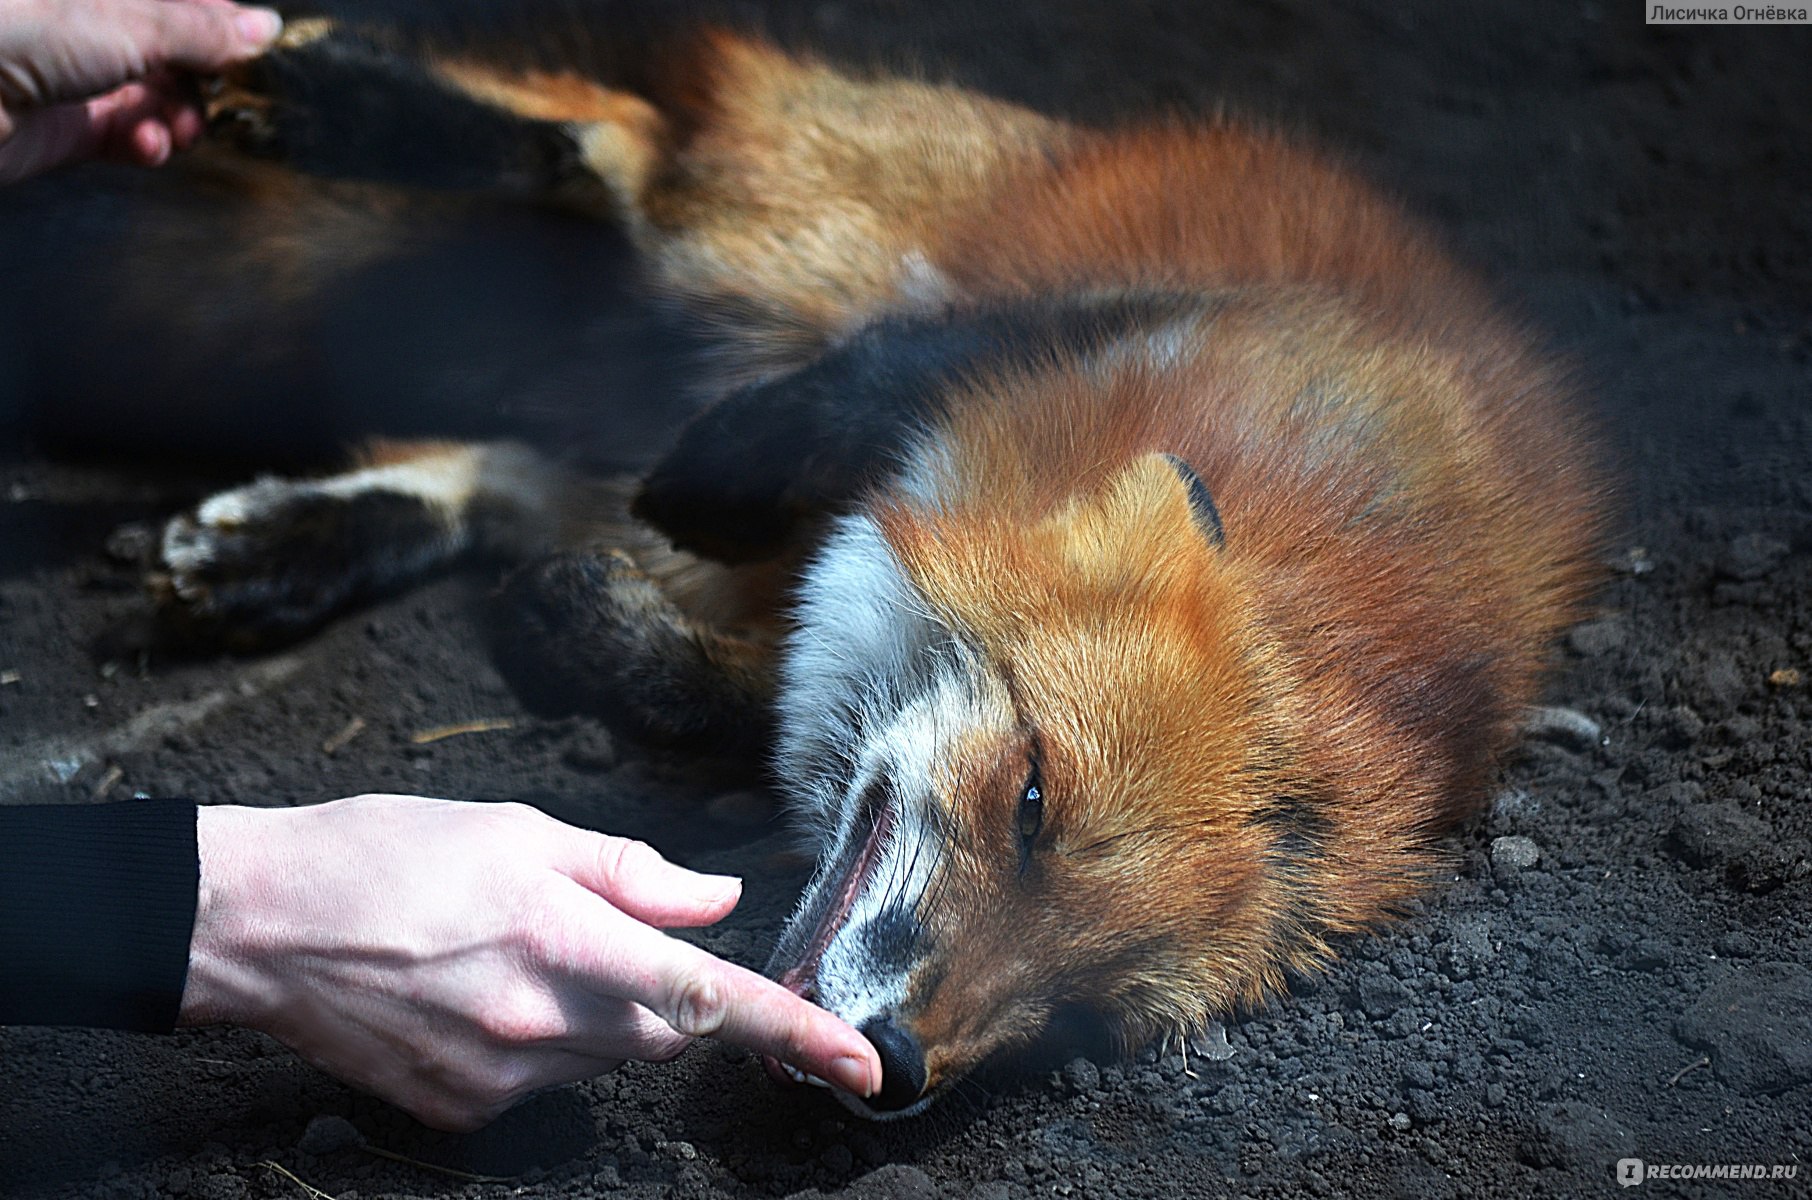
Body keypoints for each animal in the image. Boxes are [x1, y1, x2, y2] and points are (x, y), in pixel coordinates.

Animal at [131, 14, 1601, 1116]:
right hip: (778, 244)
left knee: (501, 451)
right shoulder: (1215, 324)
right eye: (1030, 803)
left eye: (1078, 1021)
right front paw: (722, 473)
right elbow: (909, 363)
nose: (893, 1070)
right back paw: (332, 98)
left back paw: (289, 545)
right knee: (613, 144)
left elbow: (714, 681)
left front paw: (590, 630)